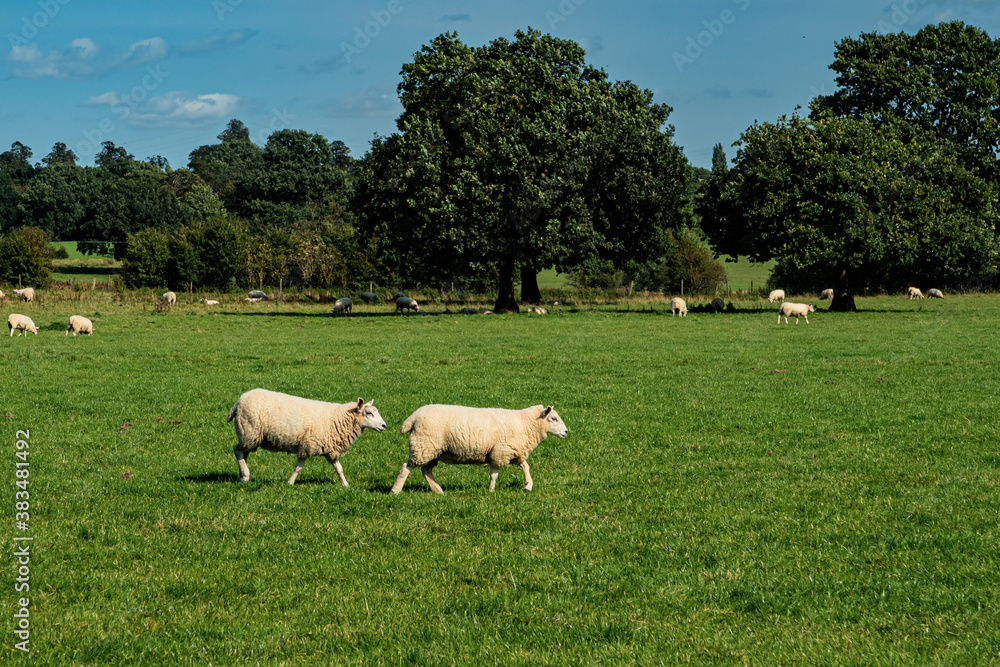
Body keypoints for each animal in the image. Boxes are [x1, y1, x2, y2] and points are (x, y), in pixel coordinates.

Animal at [227, 389, 387, 486]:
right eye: (369, 413)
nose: (384, 425)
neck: (339, 418)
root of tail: (237, 403)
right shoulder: (307, 446)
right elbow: (298, 468)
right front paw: (290, 482)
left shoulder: (330, 449)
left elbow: (339, 469)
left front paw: (345, 485)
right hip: (249, 432)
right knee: (237, 450)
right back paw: (245, 475)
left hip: (250, 436)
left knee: (243, 454)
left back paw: (242, 475)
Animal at [390, 403, 568, 494]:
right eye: (553, 418)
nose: (566, 432)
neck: (525, 423)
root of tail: (413, 417)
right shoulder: (499, 452)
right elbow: (494, 474)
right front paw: (491, 490)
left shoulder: (513, 451)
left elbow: (526, 466)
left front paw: (528, 485)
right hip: (423, 445)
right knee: (406, 467)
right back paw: (395, 490)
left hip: (432, 449)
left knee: (426, 470)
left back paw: (438, 490)